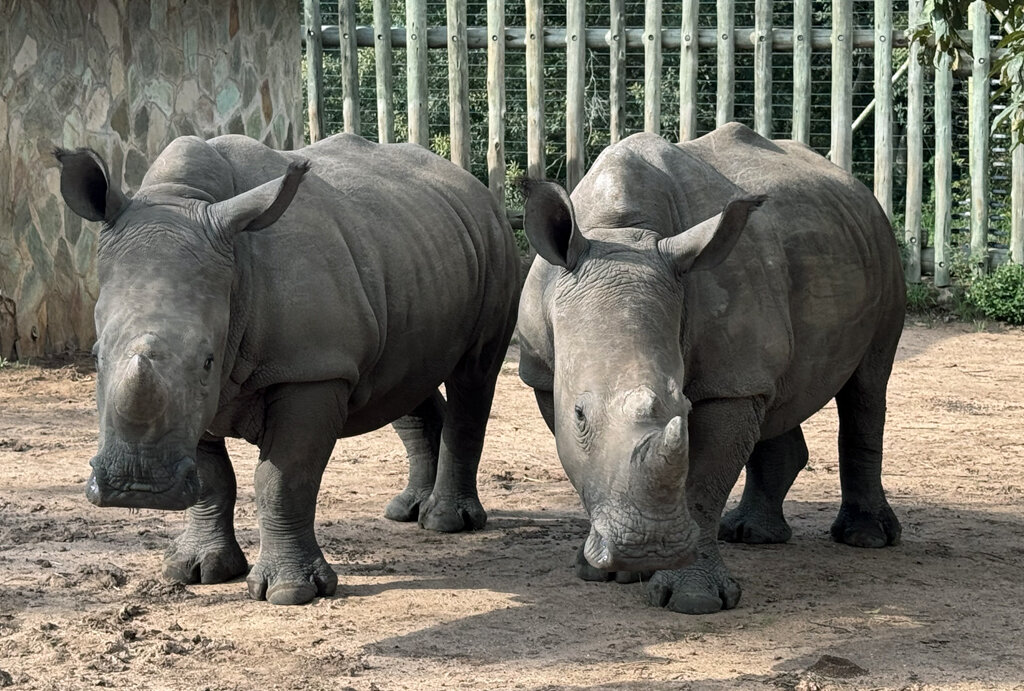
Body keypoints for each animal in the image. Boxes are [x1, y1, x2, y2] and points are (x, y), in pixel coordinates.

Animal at [55, 134, 520, 605]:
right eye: (95, 356)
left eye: (207, 360)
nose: (139, 487)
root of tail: (473, 185)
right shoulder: (195, 399)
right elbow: (211, 478)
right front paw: (196, 570)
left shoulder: (312, 368)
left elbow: (284, 479)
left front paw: (292, 592)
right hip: (410, 252)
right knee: (404, 379)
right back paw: (406, 511)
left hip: (494, 242)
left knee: (473, 375)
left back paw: (445, 522)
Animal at [516, 123, 904, 614]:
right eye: (579, 414)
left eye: (683, 407)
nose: (647, 548)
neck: (621, 234)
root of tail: (855, 184)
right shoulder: (544, 376)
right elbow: (587, 462)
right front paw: (607, 571)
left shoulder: (728, 383)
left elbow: (703, 483)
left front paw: (692, 598)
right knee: (780, 393)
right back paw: (750, 535)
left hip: (883, 246)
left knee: (868, 385)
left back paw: (865, 538)